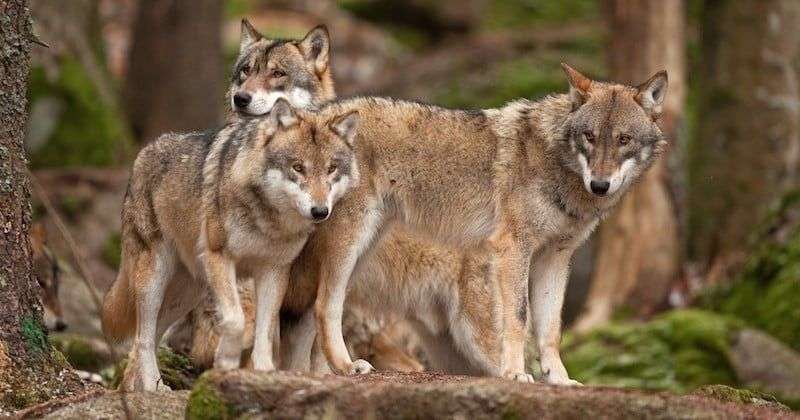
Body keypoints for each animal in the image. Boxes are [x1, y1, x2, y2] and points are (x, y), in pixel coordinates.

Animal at [100, 98, 360, 391]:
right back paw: (153, 387)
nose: (320, 211)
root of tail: (143, 153)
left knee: (148, 336)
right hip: (154, 280)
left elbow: (264, 331)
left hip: (186, 293)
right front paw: (225, 362)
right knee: (143, 336)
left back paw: (137, 388)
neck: (268, 219)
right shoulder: (220, 258)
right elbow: (235, 320)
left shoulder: (274, 271)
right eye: (298, 167)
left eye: (331, 168)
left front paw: (264, 372)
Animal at [285, 64, 668, 382]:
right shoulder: (513, 248)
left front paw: (560, 381)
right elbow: (518, 318)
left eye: (623, 139)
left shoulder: (556, 258)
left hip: (366, 254)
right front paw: (515, 374)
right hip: (351, 246)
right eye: (589, 136)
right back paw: (345, 366)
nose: (600, 185)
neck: (557, 164)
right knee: (324, 306)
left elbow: (550, 331)